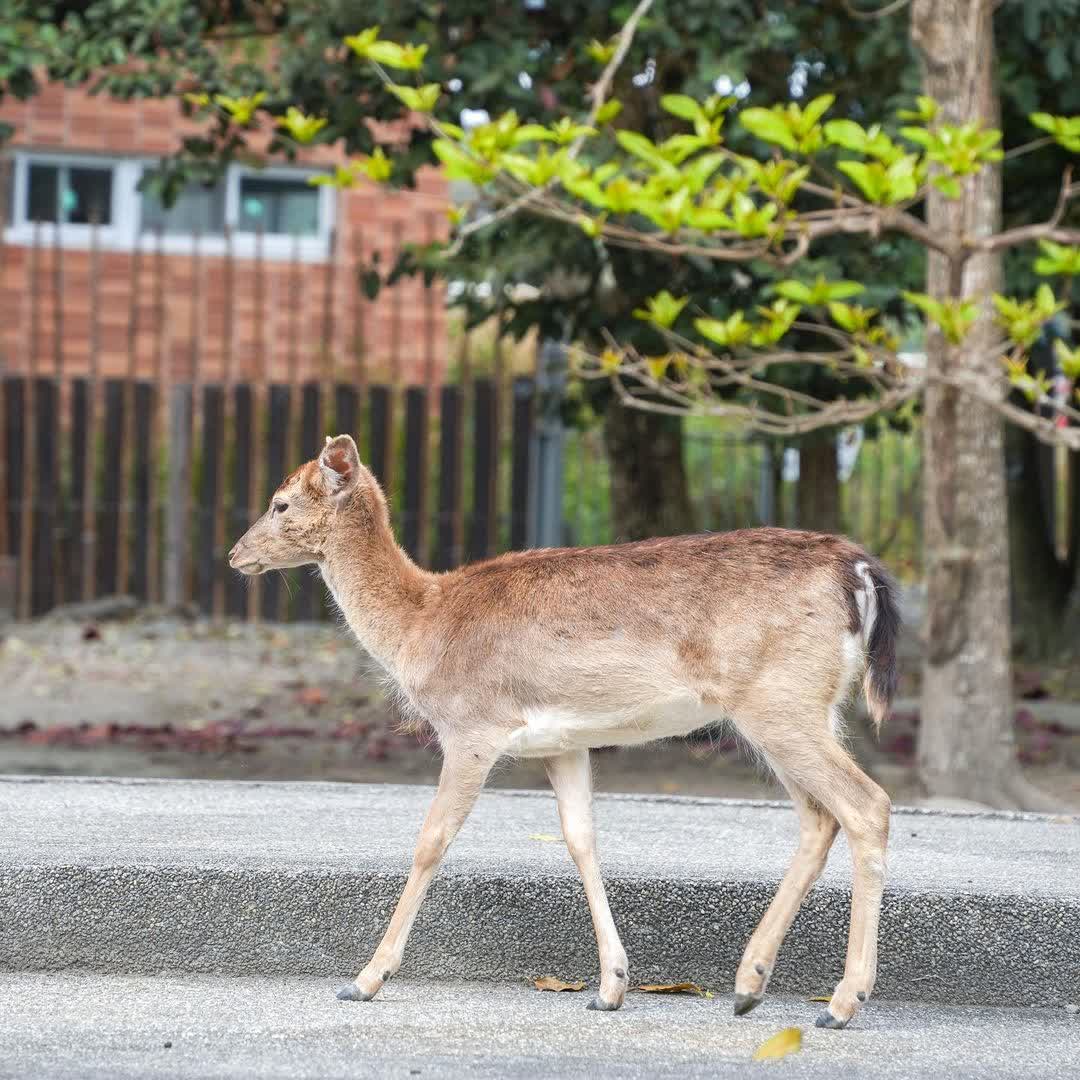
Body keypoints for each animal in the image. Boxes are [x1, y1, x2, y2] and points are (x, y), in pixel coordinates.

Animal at [229, 433, 900, 1030]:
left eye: (280, 503)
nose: (236, 555)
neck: (421, 622)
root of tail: (860, 572)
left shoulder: (471, 727)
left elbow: (431, 840)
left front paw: (365, 979)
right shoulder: (564, 743)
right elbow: (581, 840)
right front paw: (611, 987)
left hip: (779, 702)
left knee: (867, 804)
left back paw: (842, 1003)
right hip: (803, 707)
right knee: (820, 818)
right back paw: (748, 985)